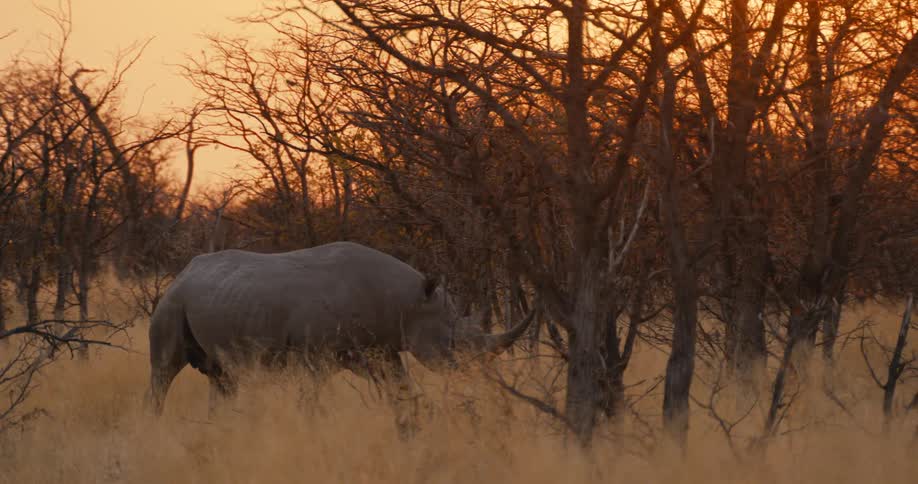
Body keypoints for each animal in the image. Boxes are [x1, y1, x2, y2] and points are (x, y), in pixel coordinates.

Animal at [146, 241, 534, 420]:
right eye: (452, 345)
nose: (472, 374)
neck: (408, 303)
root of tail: (182, 273)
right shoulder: (314, 358)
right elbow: (311, 400)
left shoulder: (380, 348)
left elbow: (401, 388)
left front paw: (411, 426)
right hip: (171, 304)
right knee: (164, 370)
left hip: (215, 298)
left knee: (223, 377)